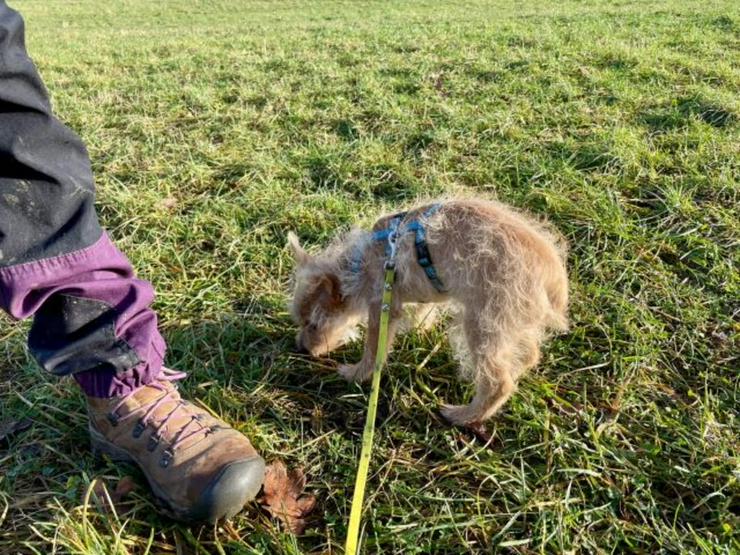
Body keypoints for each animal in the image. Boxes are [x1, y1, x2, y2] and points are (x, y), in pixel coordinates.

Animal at [286, 199, 568, 426]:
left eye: (313, 325)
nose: (302, 348)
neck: (362, 263)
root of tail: (553, 276)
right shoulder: (427, 290)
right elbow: (423, 310)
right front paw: (420, 327)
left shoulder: (383, 307)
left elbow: (374, 350)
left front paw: (356, 374)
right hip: (514, 326)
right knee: (529, 355)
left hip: (484, 323)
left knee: (498, 382)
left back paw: (463, 416)